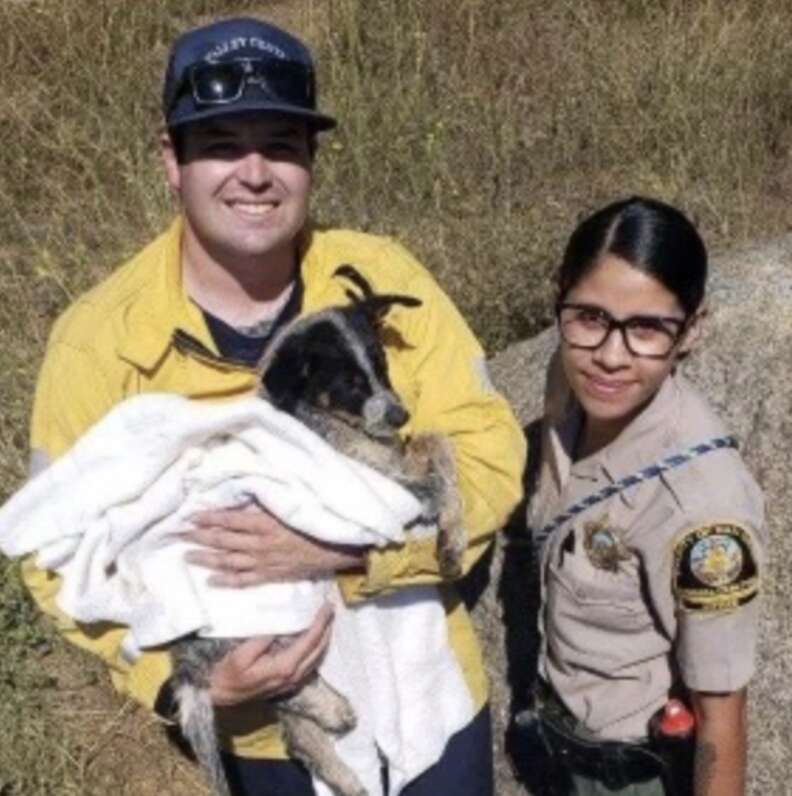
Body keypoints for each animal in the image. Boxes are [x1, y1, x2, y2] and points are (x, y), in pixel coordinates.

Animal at [168, 268, 464, 796]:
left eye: (382, 363)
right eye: (347, 382)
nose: (399, 415)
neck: (327, 422)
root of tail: (183, 664)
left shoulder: (391, 460)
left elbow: (440, 445)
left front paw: (452, 541)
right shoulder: (377, 487)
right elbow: (433, 480)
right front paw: (449, 536)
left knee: (297, 735)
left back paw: (348, 777)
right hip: (274, 627)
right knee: (282, 688)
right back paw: (335, 709)